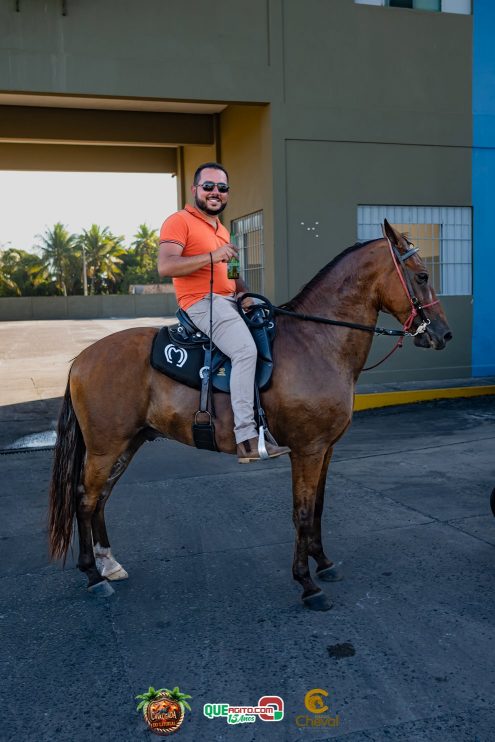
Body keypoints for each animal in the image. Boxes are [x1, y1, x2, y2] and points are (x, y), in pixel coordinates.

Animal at [50, 221, 454, 612]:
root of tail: (81, 359)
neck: (317, 341)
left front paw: (323, 563)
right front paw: (307, 584)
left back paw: (108, 563)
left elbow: (318, 508)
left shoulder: (326, 449)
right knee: (85, 499)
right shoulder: (307, 450)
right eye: (421, 276)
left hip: (127, 443)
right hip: (105, 448)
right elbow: (302, 512)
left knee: (101, 498)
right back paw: (93, 575)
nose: (443, 333)